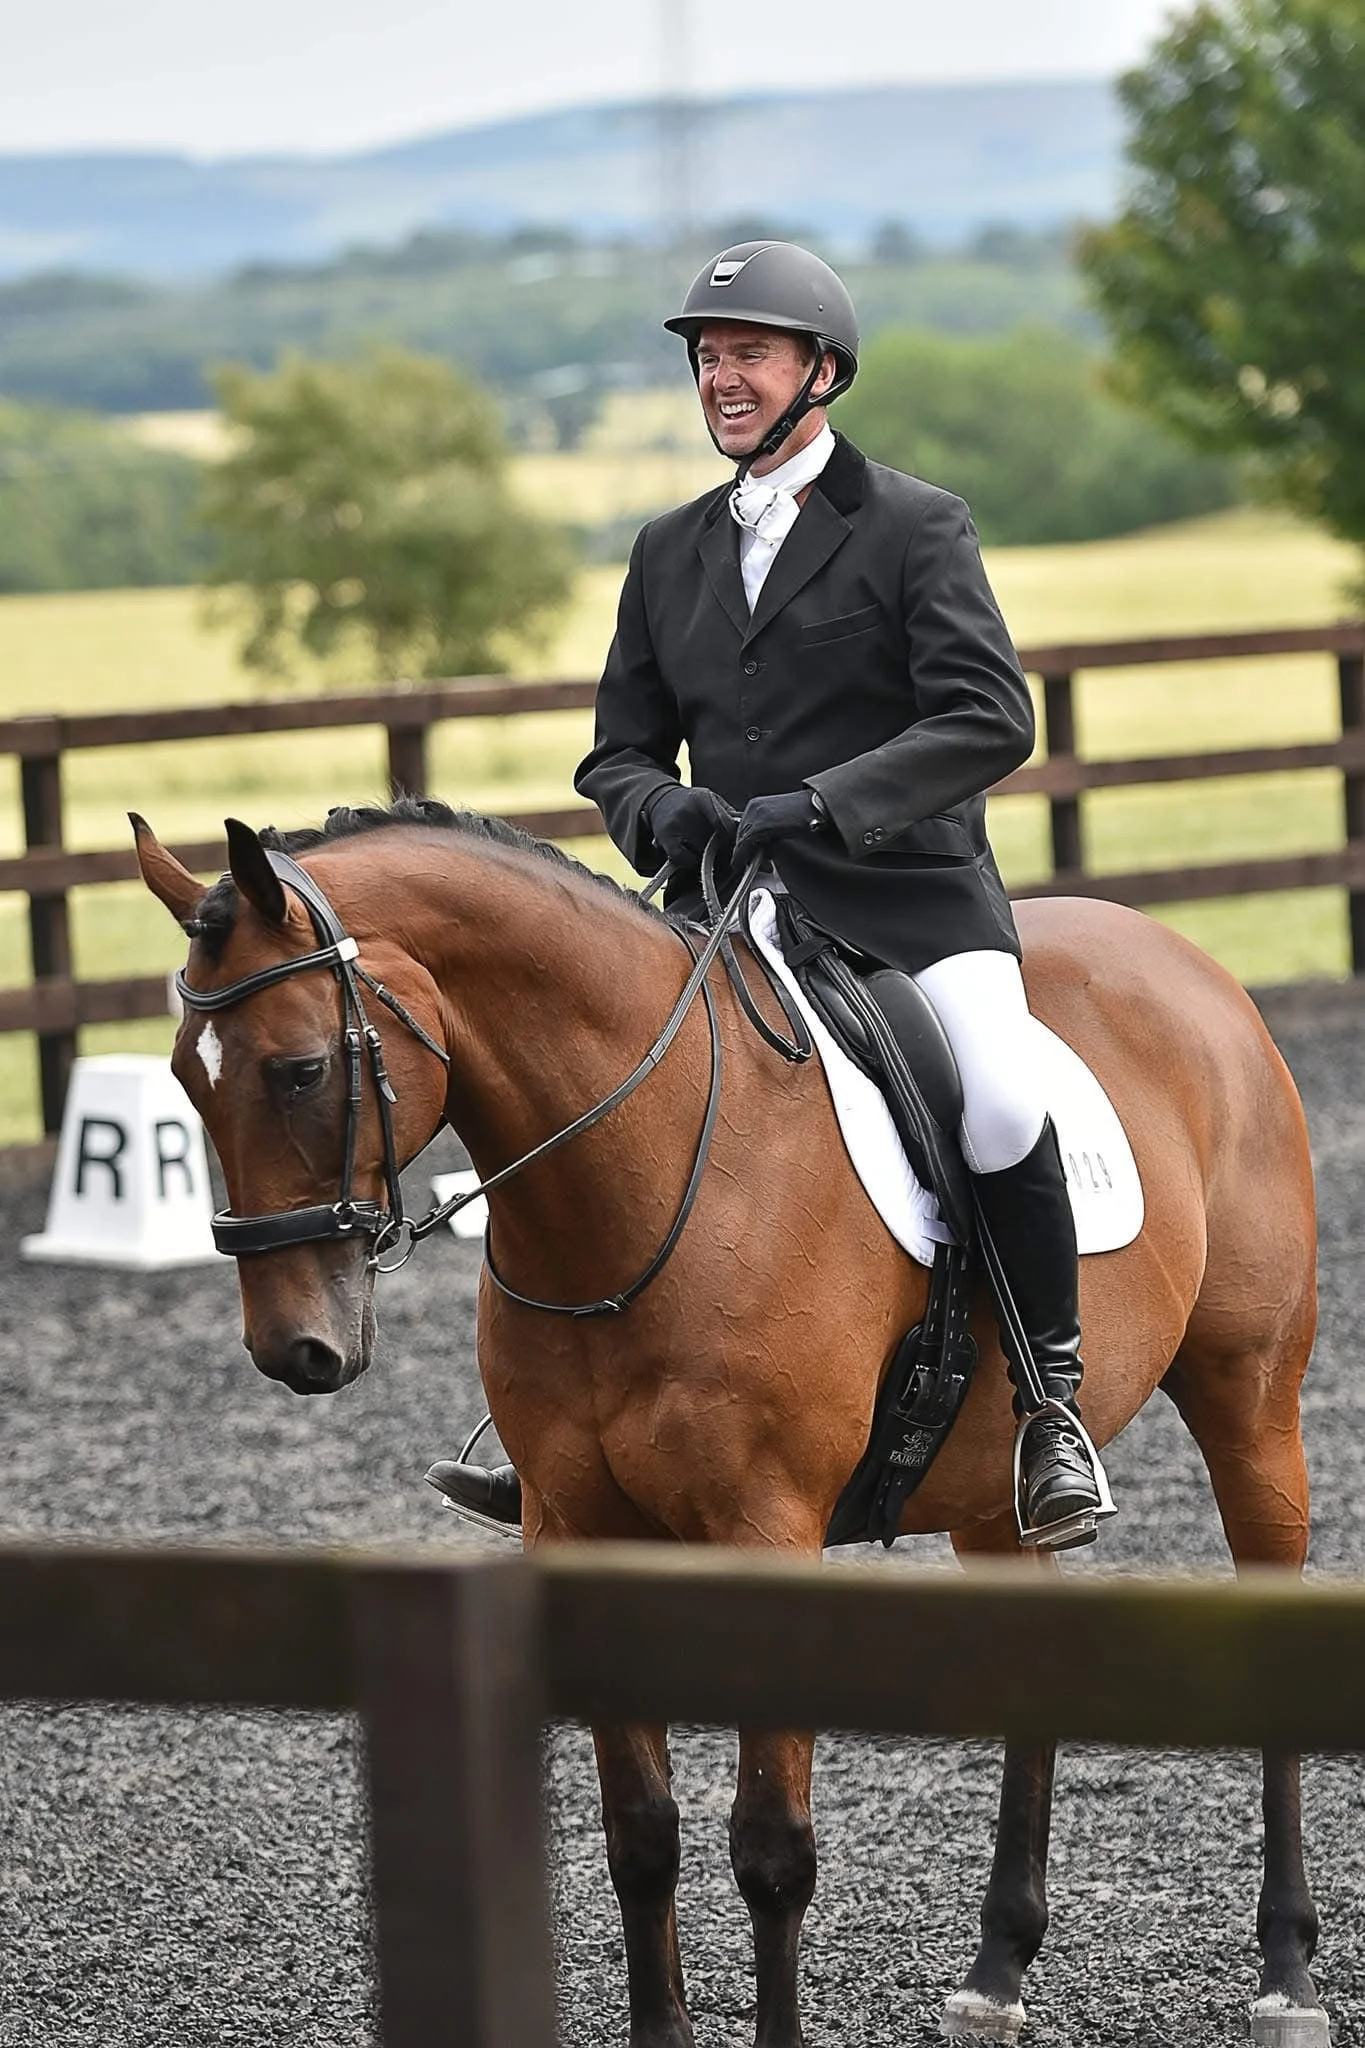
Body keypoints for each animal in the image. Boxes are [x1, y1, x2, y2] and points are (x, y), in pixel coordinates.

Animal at [132, 798, 1324, 2048]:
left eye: (302, 1068)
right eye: (183, 1079)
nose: (294, 1347)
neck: (647, 1175)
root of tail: (1186, 959)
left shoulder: (767, 1531)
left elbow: (770, 1847)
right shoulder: (578, 1531)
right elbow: (639, 1833)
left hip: (1250, 1396)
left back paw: (1287, 1970)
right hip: (989, 1488)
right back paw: (998, 1968)